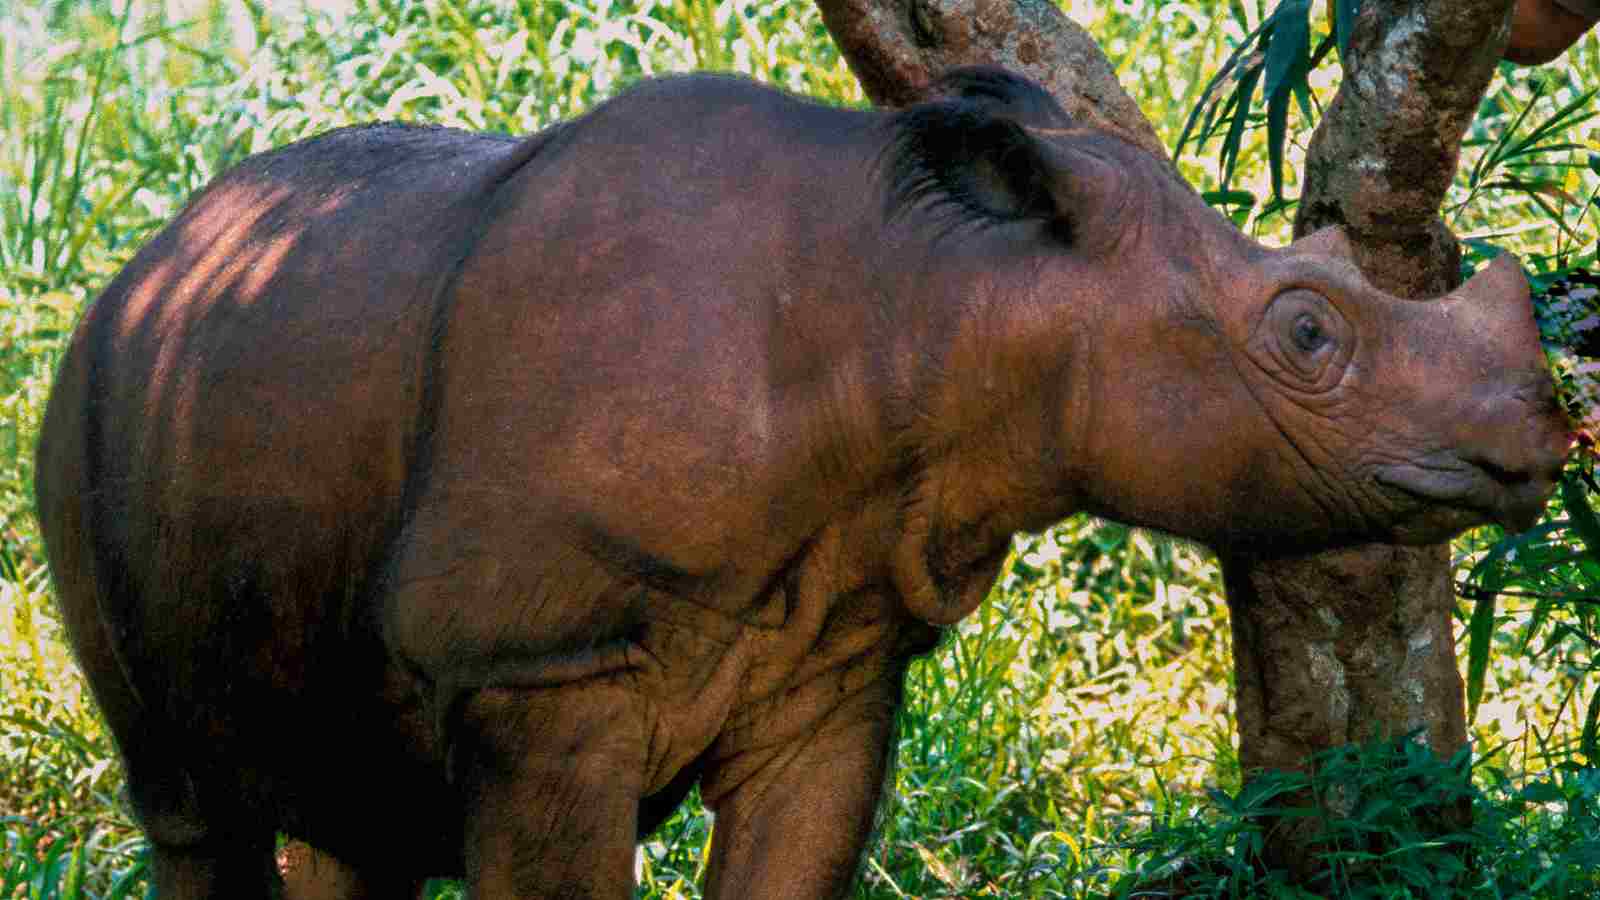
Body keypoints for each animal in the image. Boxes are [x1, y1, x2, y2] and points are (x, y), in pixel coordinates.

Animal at [35, 68, 1570, 899]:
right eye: (1306, 334)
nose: (1544, 437)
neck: (946, 300)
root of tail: (140, 266)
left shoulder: (836, 652)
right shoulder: (543, 663)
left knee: (347, 816)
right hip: (82, 412)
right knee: (191, 807)